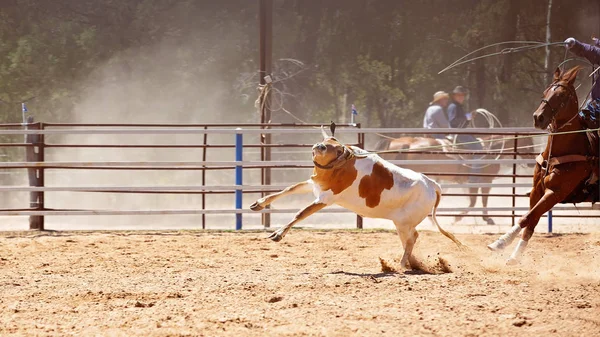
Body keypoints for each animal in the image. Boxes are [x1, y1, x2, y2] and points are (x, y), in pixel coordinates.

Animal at [248, 129, 464, 268]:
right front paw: (259, 203)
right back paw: (409, 262)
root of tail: (432, 184)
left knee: (411, 239)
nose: (320, 146)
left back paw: (402, 264)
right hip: (402, 223)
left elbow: (300, 213)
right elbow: (287, 190)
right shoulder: (313, 185)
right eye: (329, 142)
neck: (340, 167)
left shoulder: (325, 199)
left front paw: (278, 234)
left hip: (404, 222)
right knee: (411, 238)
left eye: (337, 148)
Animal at [376, 130, 536, 224]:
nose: (531, 162)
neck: (490, 150)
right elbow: (477, 201)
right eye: (528, 142)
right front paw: (465, 217)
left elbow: (477, 201)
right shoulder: (483, 180)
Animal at [488, 65, 600, 264]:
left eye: (561, 95)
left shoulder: (555, 193)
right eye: (545, 91)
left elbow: (527, 217)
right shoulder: (537, 190)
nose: (538, 117)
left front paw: (501, 242)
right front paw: (514, 256)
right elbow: (531, 221)